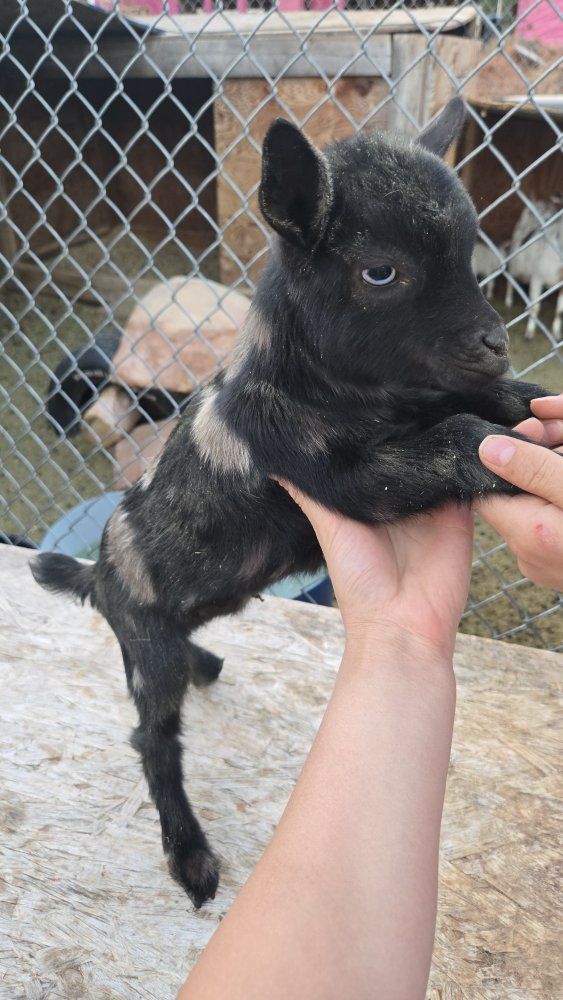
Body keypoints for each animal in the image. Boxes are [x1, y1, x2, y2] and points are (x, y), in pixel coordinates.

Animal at [32, 99, 551, 908]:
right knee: (153, 740)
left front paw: (530, 402)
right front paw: (511, 447)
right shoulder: (342, 477)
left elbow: (482, 403)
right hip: (148, 647)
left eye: (470, 254)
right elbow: (457, 438)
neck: (324, 387)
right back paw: (190, 855)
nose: (495, 344)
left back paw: (206, 661)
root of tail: (96, 577)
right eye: (380, 271)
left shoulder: (419, 399)